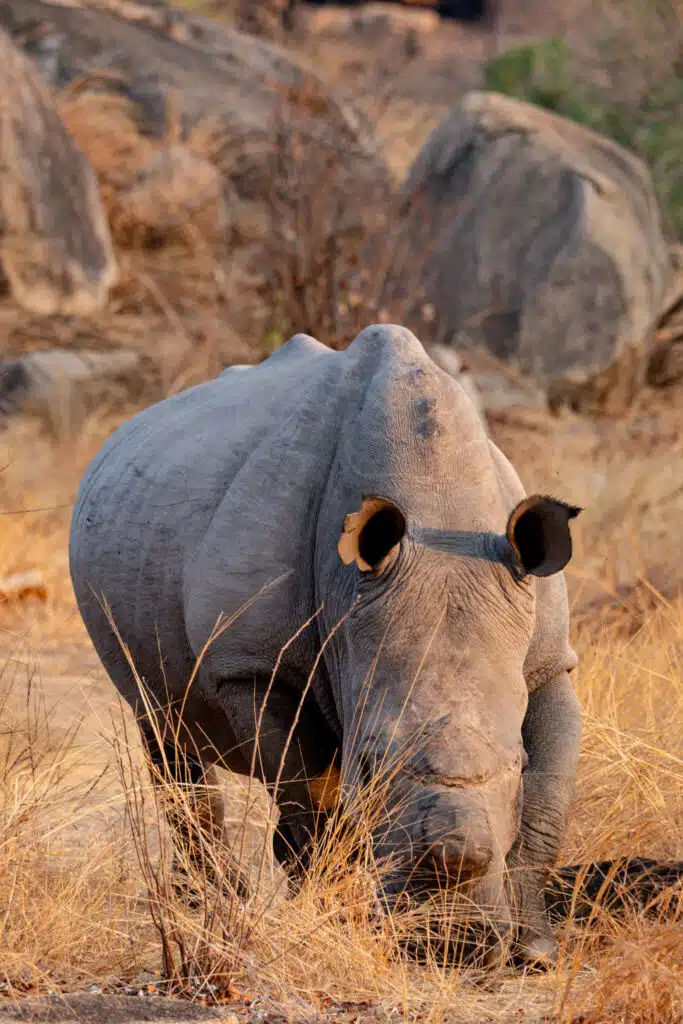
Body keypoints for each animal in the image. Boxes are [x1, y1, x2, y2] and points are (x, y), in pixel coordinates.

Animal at [69, 324, 583, 967]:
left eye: (516, 763)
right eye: (369, 764)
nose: (447, 948)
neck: (438, 505)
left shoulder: (548, 660)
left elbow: (549, 798)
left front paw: (536, 951)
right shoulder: (252, 664)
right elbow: (310, 794)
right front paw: (331, 922)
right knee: (165, 728)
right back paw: (211, 905)